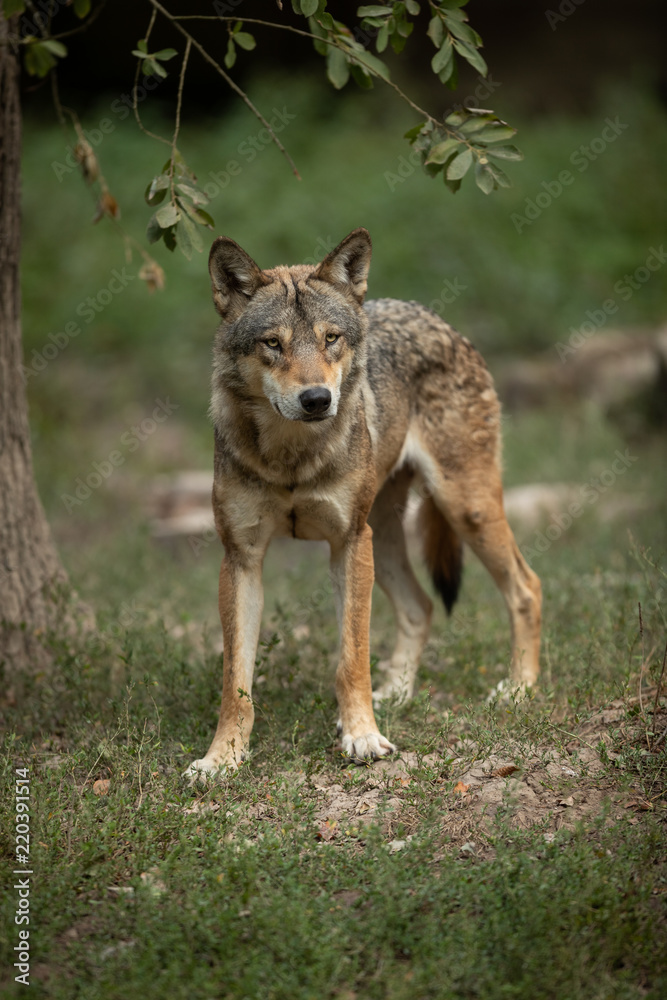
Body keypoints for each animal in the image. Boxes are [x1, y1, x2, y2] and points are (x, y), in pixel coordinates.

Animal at [186, 228, 541, 779]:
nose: (316, 399)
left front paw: (362, 736)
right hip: (388, 536)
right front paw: (222, 758)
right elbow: (236, 682)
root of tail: (437, 319)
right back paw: (397, 693)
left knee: (527, 587)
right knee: (420, 605)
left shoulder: (349, 544)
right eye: (273, 344)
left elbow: (351, 658)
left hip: (464, 509)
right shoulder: (241, 558)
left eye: (330, 338)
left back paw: (519, 690)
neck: (292, 458)